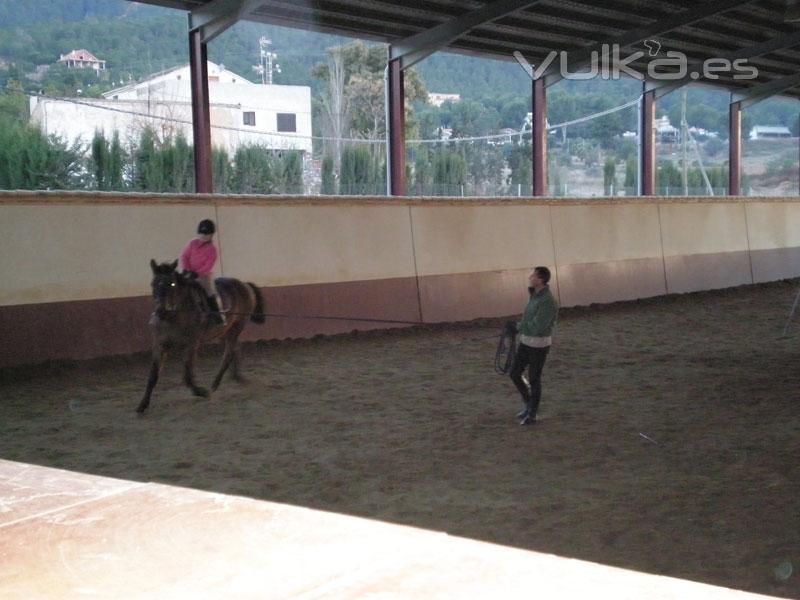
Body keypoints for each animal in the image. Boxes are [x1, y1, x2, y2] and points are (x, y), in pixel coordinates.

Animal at [136, 260, 264, 414]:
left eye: (172, 284)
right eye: (153, 283)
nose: (160, 312)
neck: (174, 316)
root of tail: (244, 284)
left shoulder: (191, 344)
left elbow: (187, 376)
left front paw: (202, 392)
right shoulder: (160, 346)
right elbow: (153, 376)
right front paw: (142, 405)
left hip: (236, 327)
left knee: (228, 354)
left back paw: (214, 385)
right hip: (224, 330)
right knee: (234, 349)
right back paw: (236, 377)